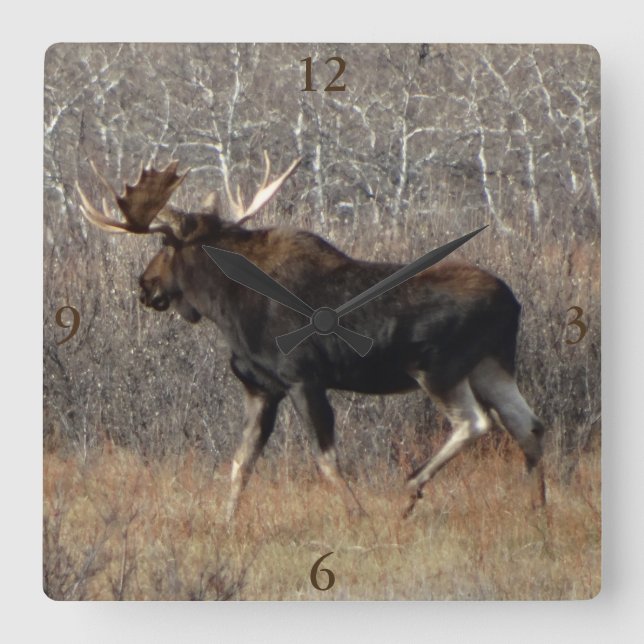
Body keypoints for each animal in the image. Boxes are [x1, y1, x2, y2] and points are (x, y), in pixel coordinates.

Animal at [76, 152, 546, 521]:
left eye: (166, 247)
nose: (145, 286)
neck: (225, 306)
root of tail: (512, 302)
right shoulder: (261, 388)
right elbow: (241, 463)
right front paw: (225, 521)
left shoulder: (303, 378)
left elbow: (326, 460)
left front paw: (358, 514)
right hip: (491, 365)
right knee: (529, 424)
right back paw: (537, 508)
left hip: (439, 368)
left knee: (476, 422)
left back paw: (410, 489)